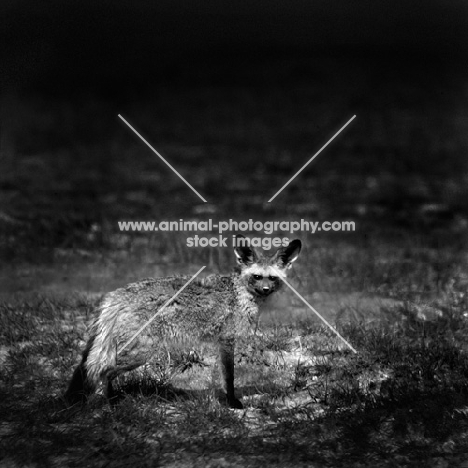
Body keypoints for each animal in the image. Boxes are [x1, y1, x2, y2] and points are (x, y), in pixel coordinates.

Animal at [64, 236, 302, 408]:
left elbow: (221, 377)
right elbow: (230, 378)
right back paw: (109, 405)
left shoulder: (219, 343)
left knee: (87, 368)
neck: (238, 293)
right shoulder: (227, 340)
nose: (265, 290)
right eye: (257, 277)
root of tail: (115, 295)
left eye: (272, 278)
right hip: (140, 353)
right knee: (101, 371)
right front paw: (232, 403)